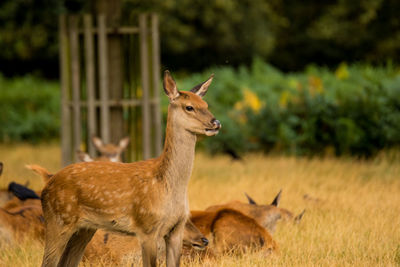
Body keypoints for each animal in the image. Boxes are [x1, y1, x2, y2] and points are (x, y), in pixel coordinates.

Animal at [39, 71, 220, 267]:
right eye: (189, 107)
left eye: (206, 105)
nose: (216, 122)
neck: (167, 185)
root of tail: (46, 186)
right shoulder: (147, 227)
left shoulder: (175, 230)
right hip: (58, 219)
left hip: (85, 228)